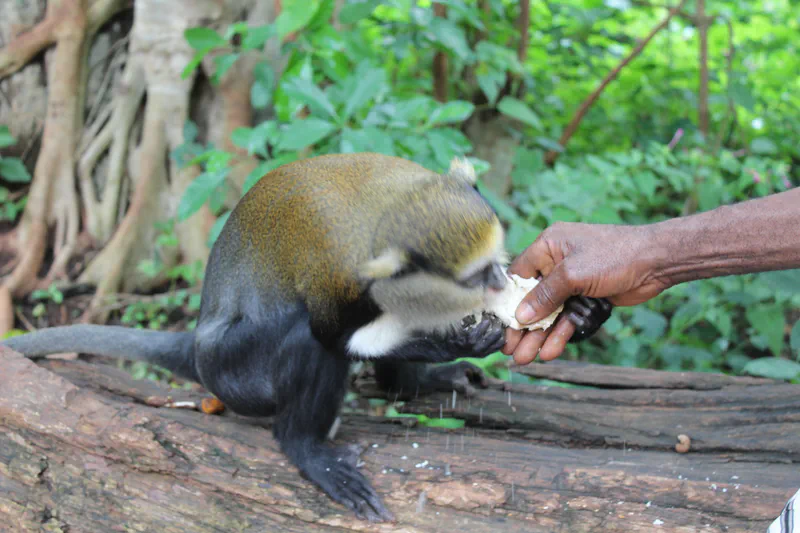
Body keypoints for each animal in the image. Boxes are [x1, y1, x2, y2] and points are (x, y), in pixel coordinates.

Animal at [2, 153, 612, 522]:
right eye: (477, 274)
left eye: (494, 261)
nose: (500, 280)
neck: (388, 207)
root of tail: (196, 343)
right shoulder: (340, 274)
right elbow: (331, 334)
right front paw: (458, 344)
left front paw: (580, 305)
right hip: (235, 372)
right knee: (303, 340)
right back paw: (305, 447)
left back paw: (411, 387)